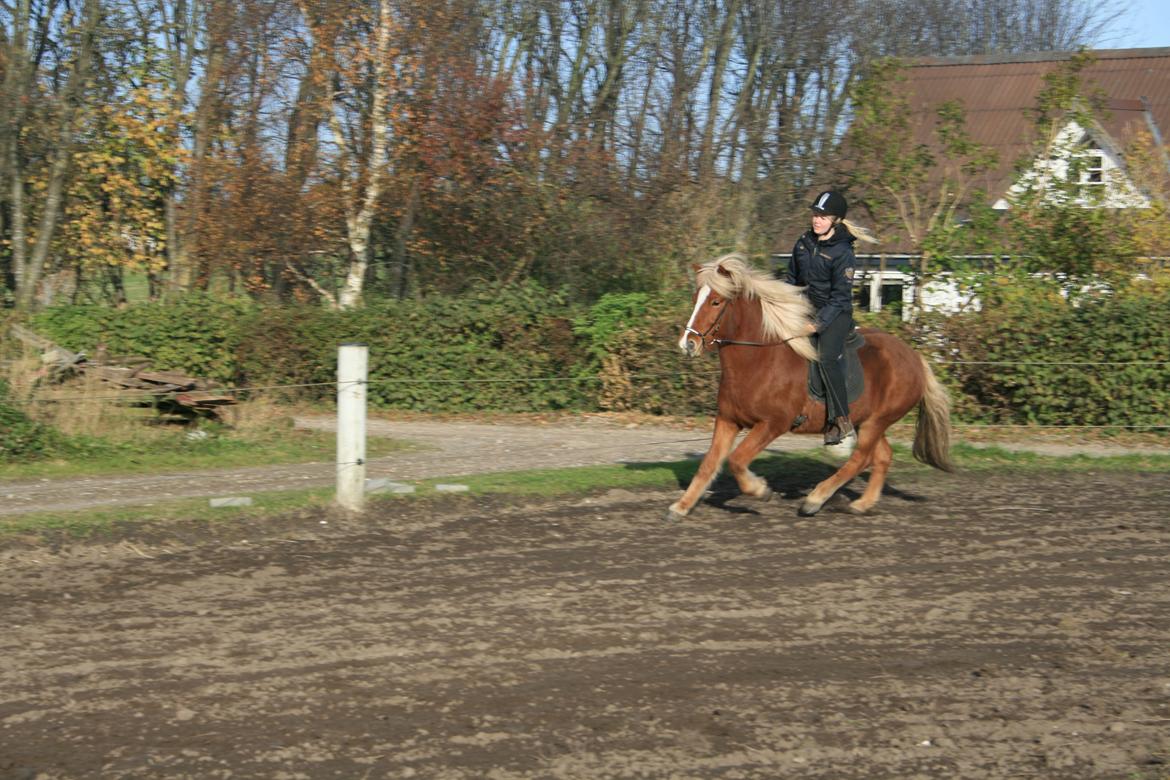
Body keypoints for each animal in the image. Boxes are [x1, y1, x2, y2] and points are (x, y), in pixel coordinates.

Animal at [668, 253, 953, 520]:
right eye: (696, 298)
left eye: (716, 301)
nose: (688, 343)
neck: (758, 360)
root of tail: (915, 357)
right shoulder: (728, 420)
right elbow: (709, 463)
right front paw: (681, 507)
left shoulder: (773, 423)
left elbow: (737, 460)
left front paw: (760, 490)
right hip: (867, 421)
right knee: (882, 456)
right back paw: (861, 504)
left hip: (876, 421)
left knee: (861, 458)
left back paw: (814, 500)